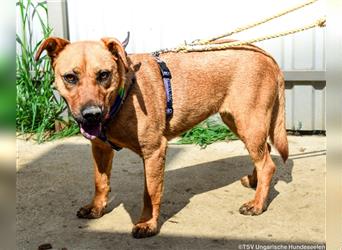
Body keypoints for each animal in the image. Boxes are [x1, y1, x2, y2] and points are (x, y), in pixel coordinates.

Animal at [36, 35, 288, 238]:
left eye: (104, 75)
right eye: (70, 77)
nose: (91, 115)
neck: (124, 94)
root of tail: (267, 56)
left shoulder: (154, 151)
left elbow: (150, 192)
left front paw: (147, 223)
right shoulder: (100, 148)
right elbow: (100, 182)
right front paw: (96, 207)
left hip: (249, 122)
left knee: (268, 164)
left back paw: (257, 204)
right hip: (238, 122)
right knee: (264, 153)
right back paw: (255, 182)